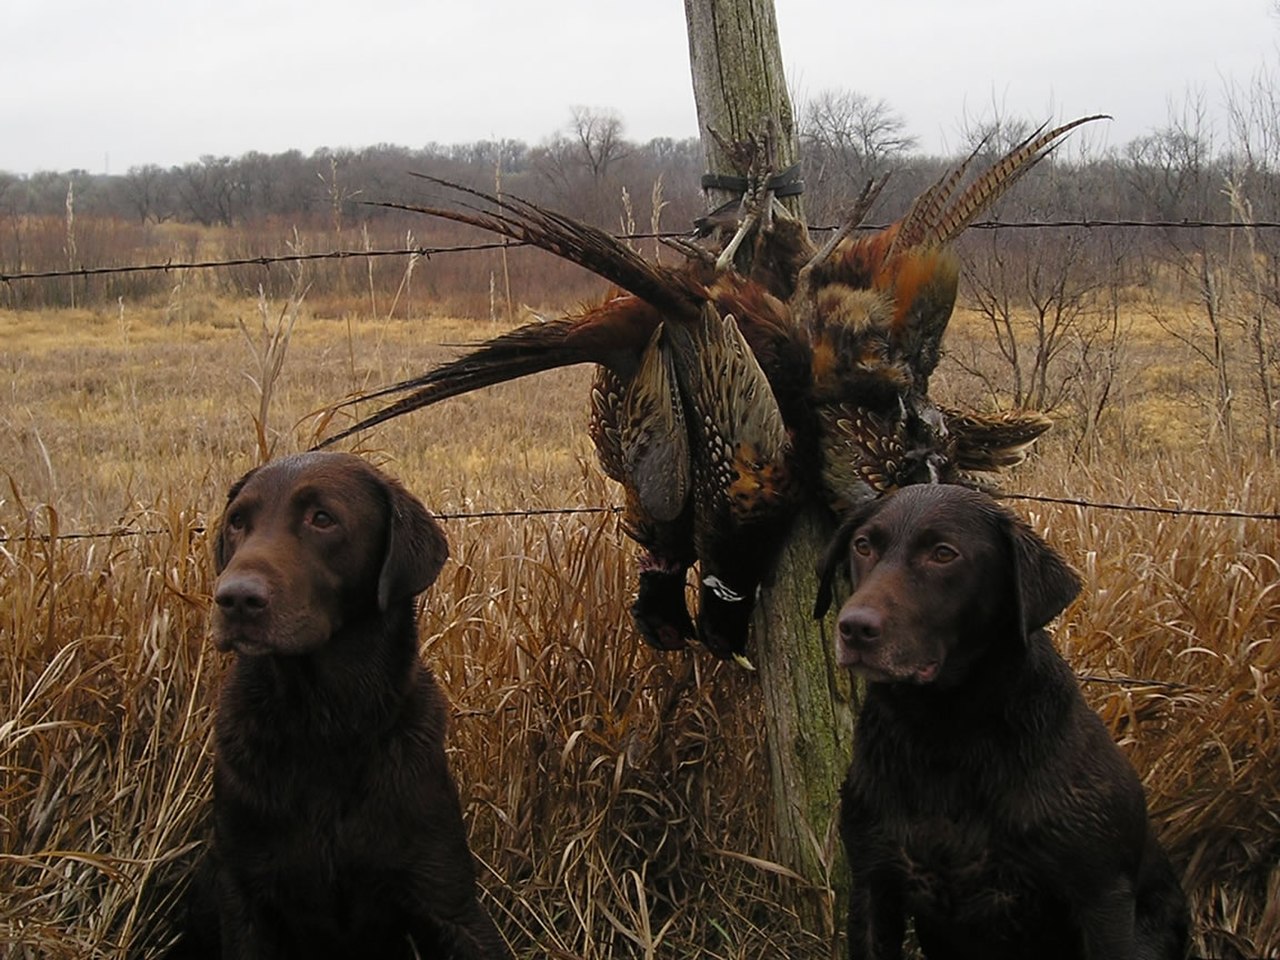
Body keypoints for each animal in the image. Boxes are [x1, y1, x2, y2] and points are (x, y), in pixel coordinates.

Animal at [204, 453, 504, 960]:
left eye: (322, 519)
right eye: (237, 522)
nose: (235, 598)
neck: (326, 724)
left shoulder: (449, 900)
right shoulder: (243, 895)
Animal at [819, 488, 1187, 960]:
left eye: (943, 553)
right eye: (863, 545)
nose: (853, 628)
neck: (943, 735)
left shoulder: (1101, 898)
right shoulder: (873, 884)